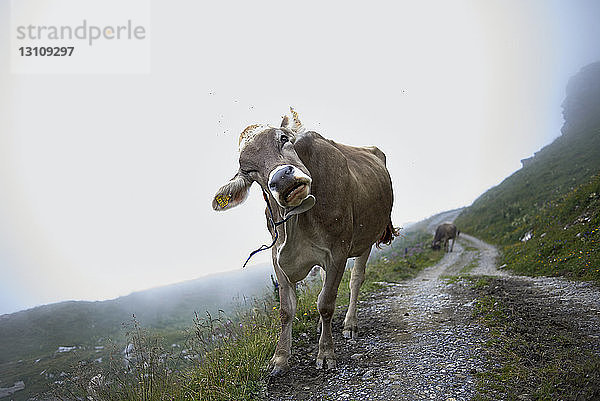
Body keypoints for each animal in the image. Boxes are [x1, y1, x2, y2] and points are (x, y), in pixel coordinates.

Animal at [211, 107, 398, 376]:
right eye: (248, 170)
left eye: (283, 138)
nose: (282, 178)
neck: (298, 221)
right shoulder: (278, 258)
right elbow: (286, 310)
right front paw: (279, 359)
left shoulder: (338, 251)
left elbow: (326, 303)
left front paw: (326, 353)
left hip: (367, 238)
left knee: (356, 280)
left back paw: (350, 324)